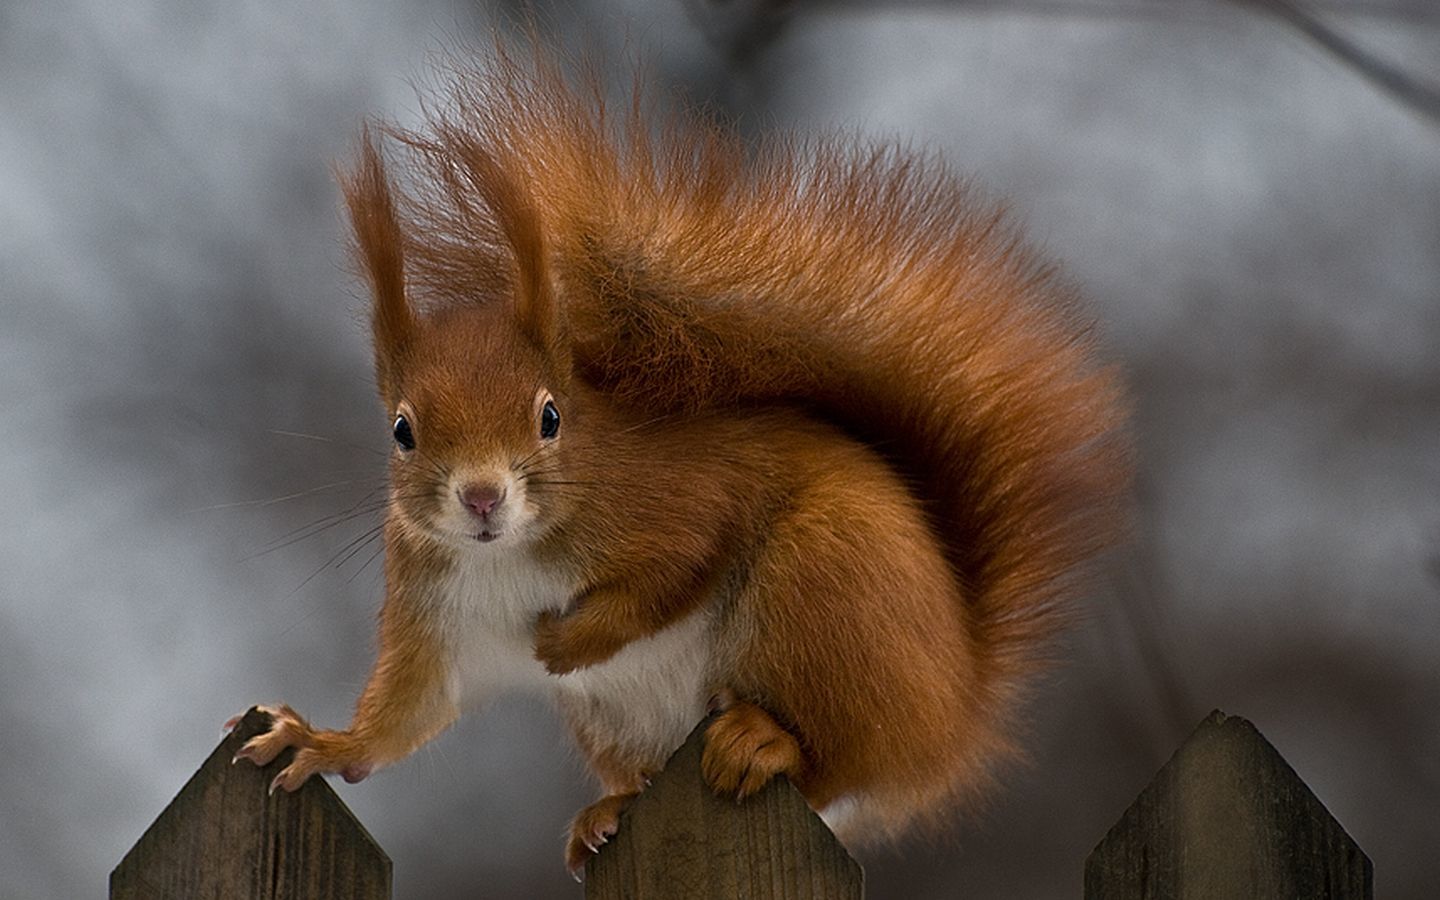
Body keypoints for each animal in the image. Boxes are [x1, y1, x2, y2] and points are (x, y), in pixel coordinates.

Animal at [231, 43, 1129, 874]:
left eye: (551, 416)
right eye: (402, 431)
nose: (482, 497)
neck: (511, 556)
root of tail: (955, 711)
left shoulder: (680, 499)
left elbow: (679, 566)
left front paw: (569, 644)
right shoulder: (434, 609)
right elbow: (407, 712)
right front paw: (323, 742)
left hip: (826, 591)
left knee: (837, 764)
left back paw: (765, 743)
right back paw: (611, 810)